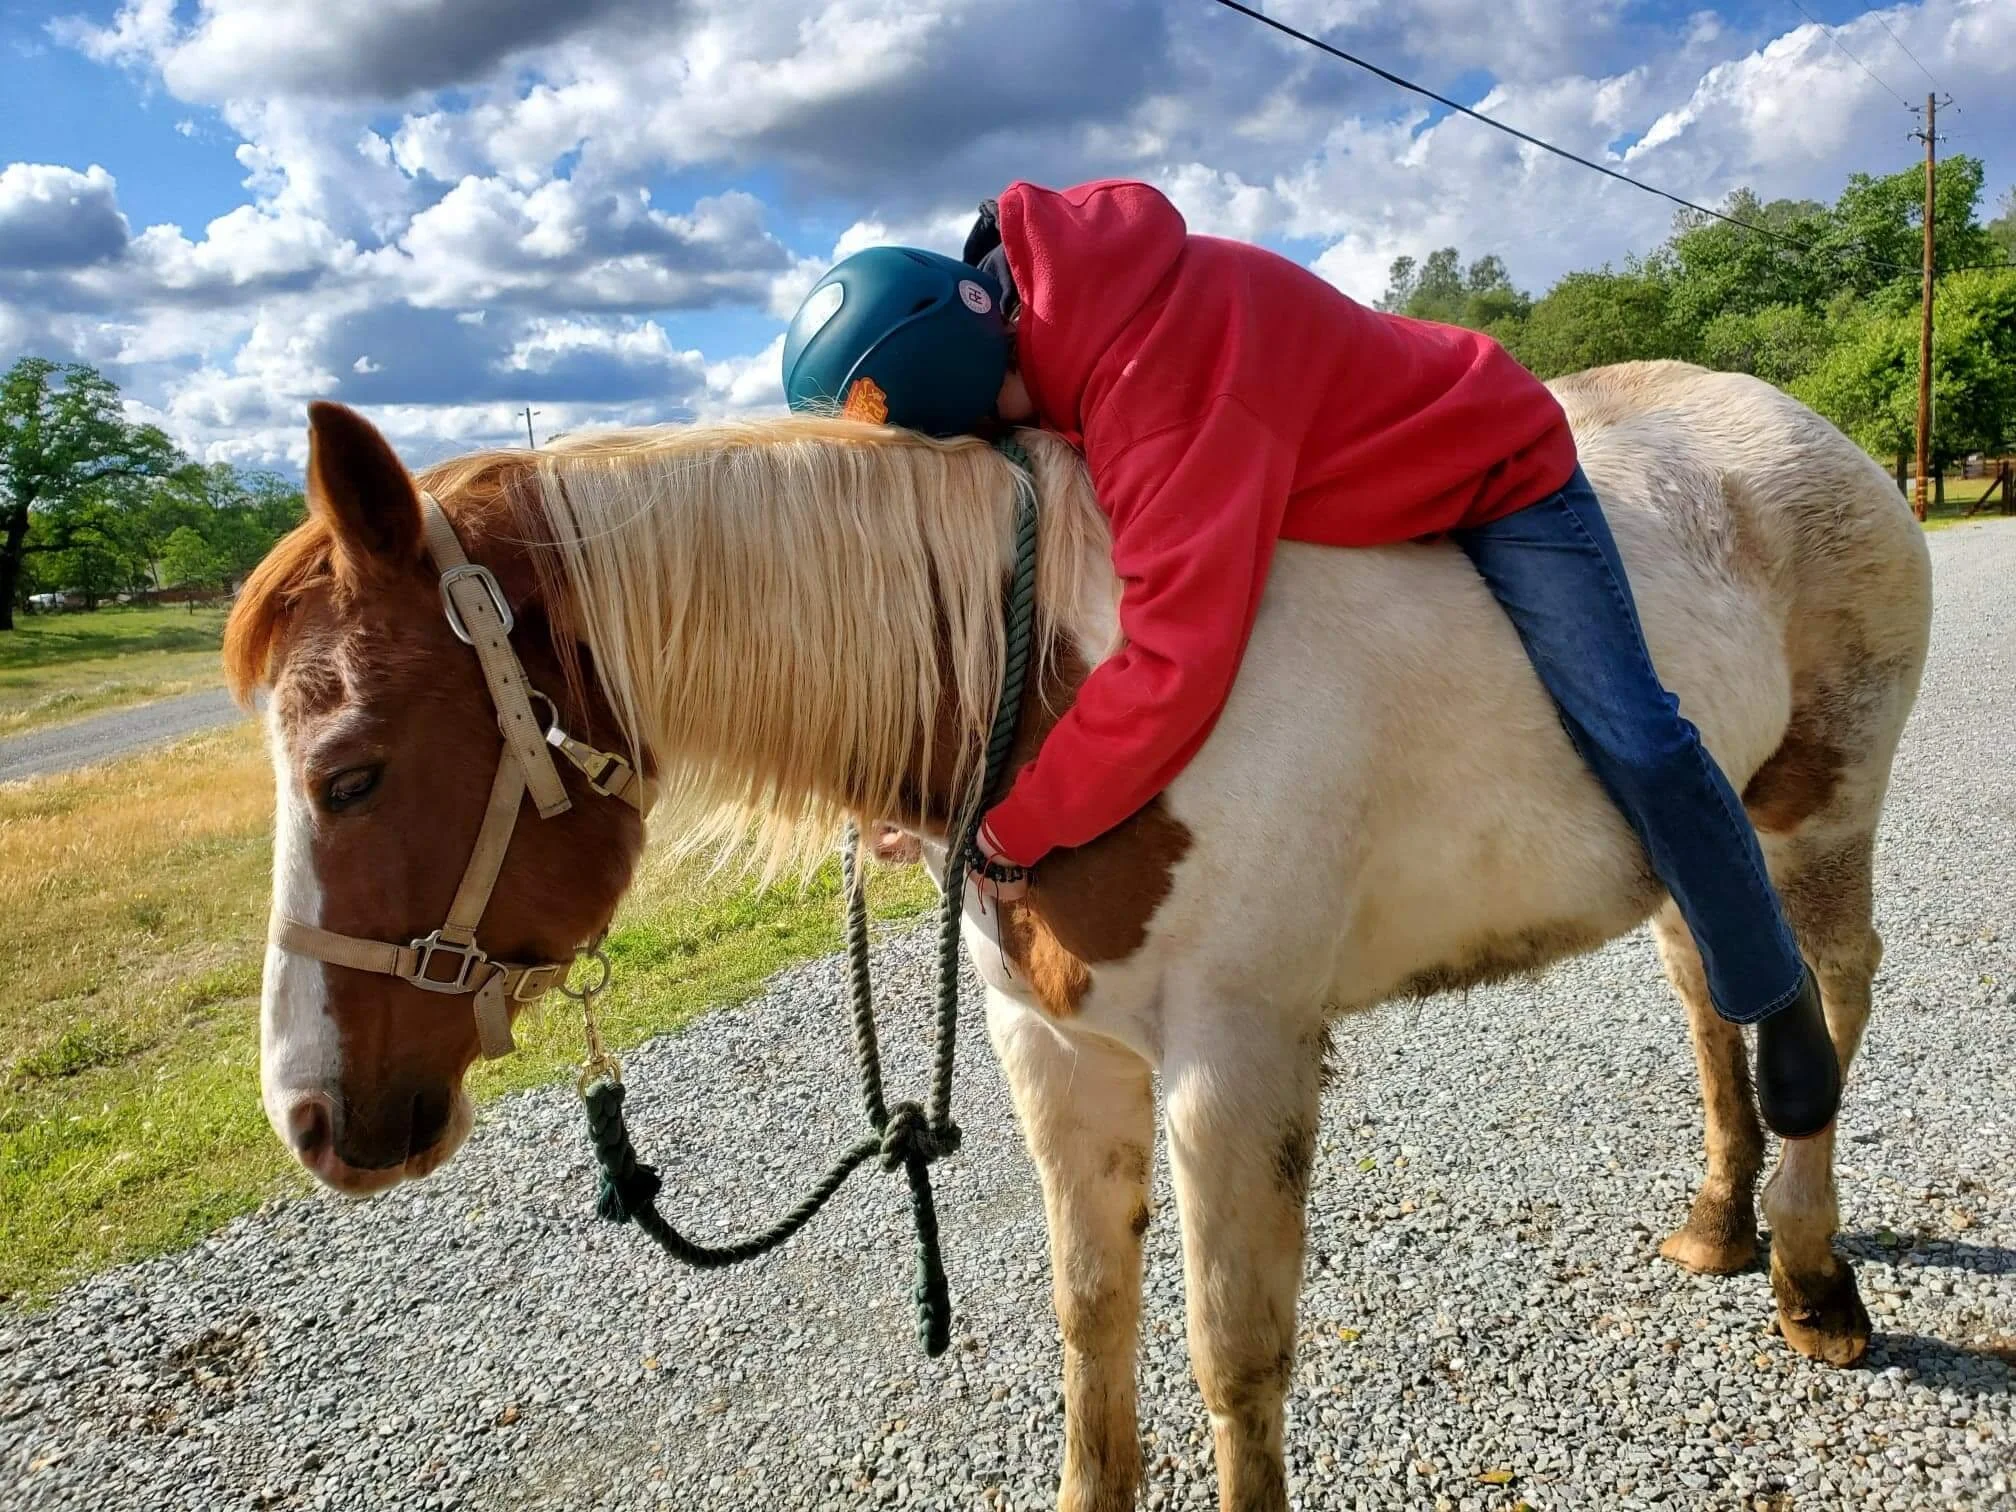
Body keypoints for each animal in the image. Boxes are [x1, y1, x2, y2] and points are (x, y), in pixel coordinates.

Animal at [224, 360, 1931, 1512]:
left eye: (351, 771)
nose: (313, 1120)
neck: (1065, 675)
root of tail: (1814, 431)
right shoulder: (1052, 1047)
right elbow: (1089, 1316)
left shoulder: (1236, 1066)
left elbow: (1234, 1351)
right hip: (1692, 848)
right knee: (1714, 994)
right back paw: (1719, 1220)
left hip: (1816, 816)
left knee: (1822, 1000)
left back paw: (1813, 1274)